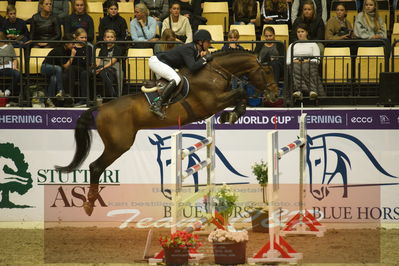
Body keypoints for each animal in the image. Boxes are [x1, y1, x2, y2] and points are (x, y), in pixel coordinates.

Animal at [56, 49, 280, 216]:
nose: (274, 95)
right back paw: (89, 204)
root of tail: (101, 107)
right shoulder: (212, 102)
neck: (215, 72)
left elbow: (240, 95)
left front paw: (231, 115)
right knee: (95, 167)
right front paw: (232, 114)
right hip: (118, 145)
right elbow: (240, 92)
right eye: (268, 70)